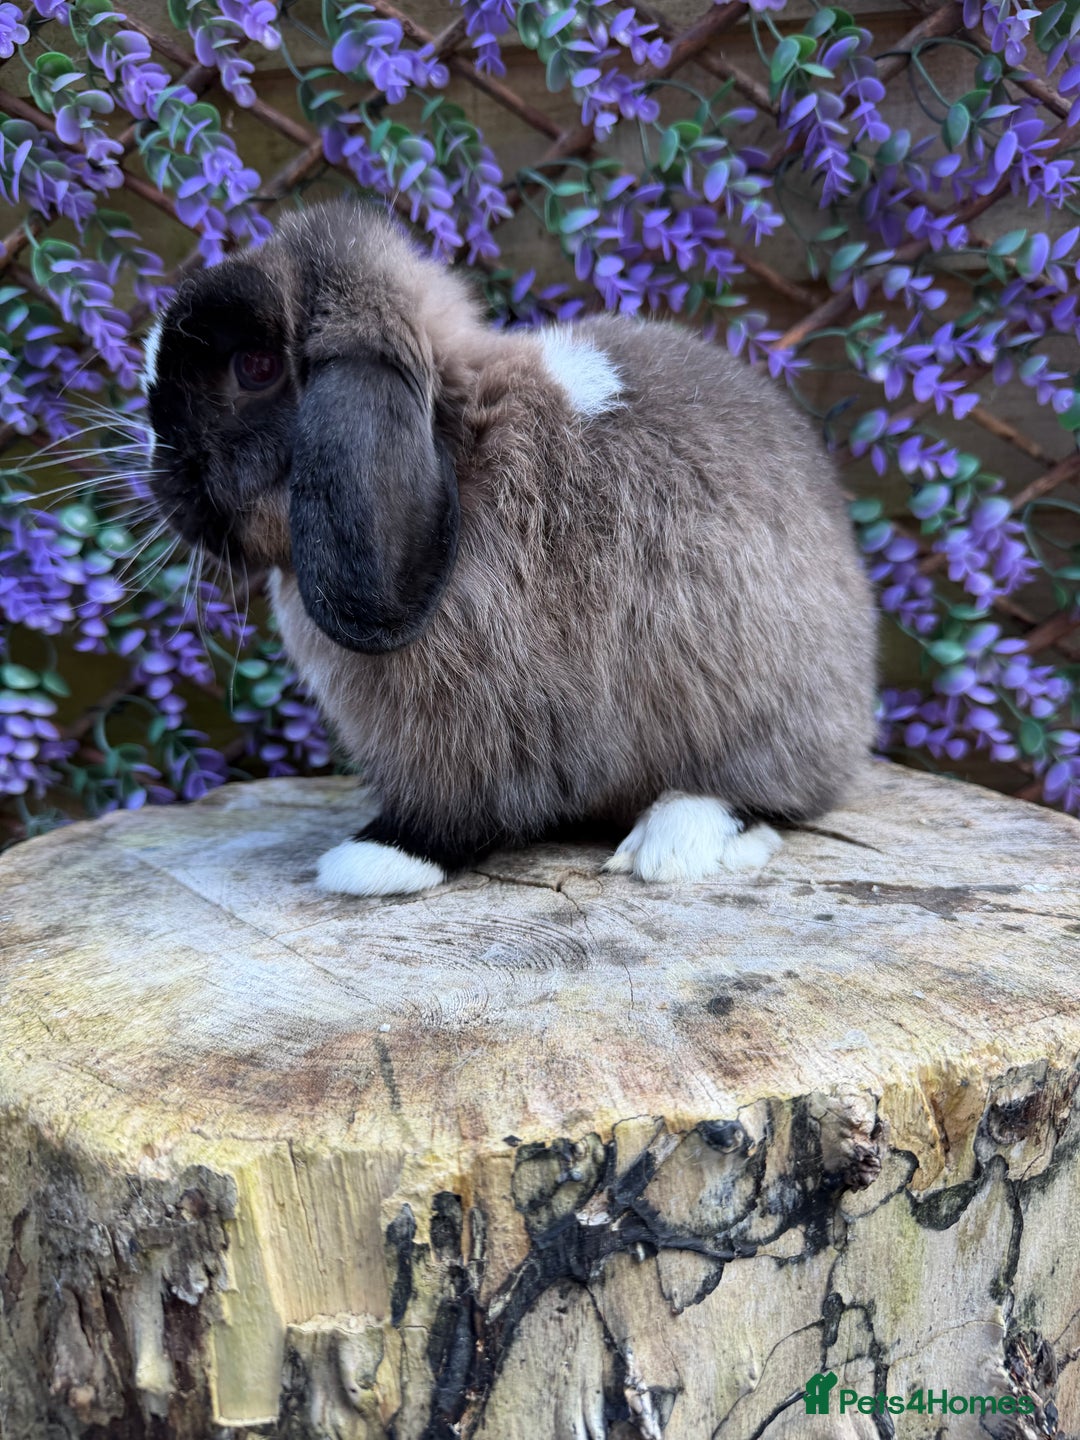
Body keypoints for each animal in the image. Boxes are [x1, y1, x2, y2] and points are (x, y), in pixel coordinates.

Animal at [143, 198, 877, 896]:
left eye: (255, 367)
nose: (161, 477)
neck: (456, 446)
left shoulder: (470, 728)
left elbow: (457, 807)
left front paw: (379, 859)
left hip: (757, 712)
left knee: (764, 797)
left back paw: (672, 842)